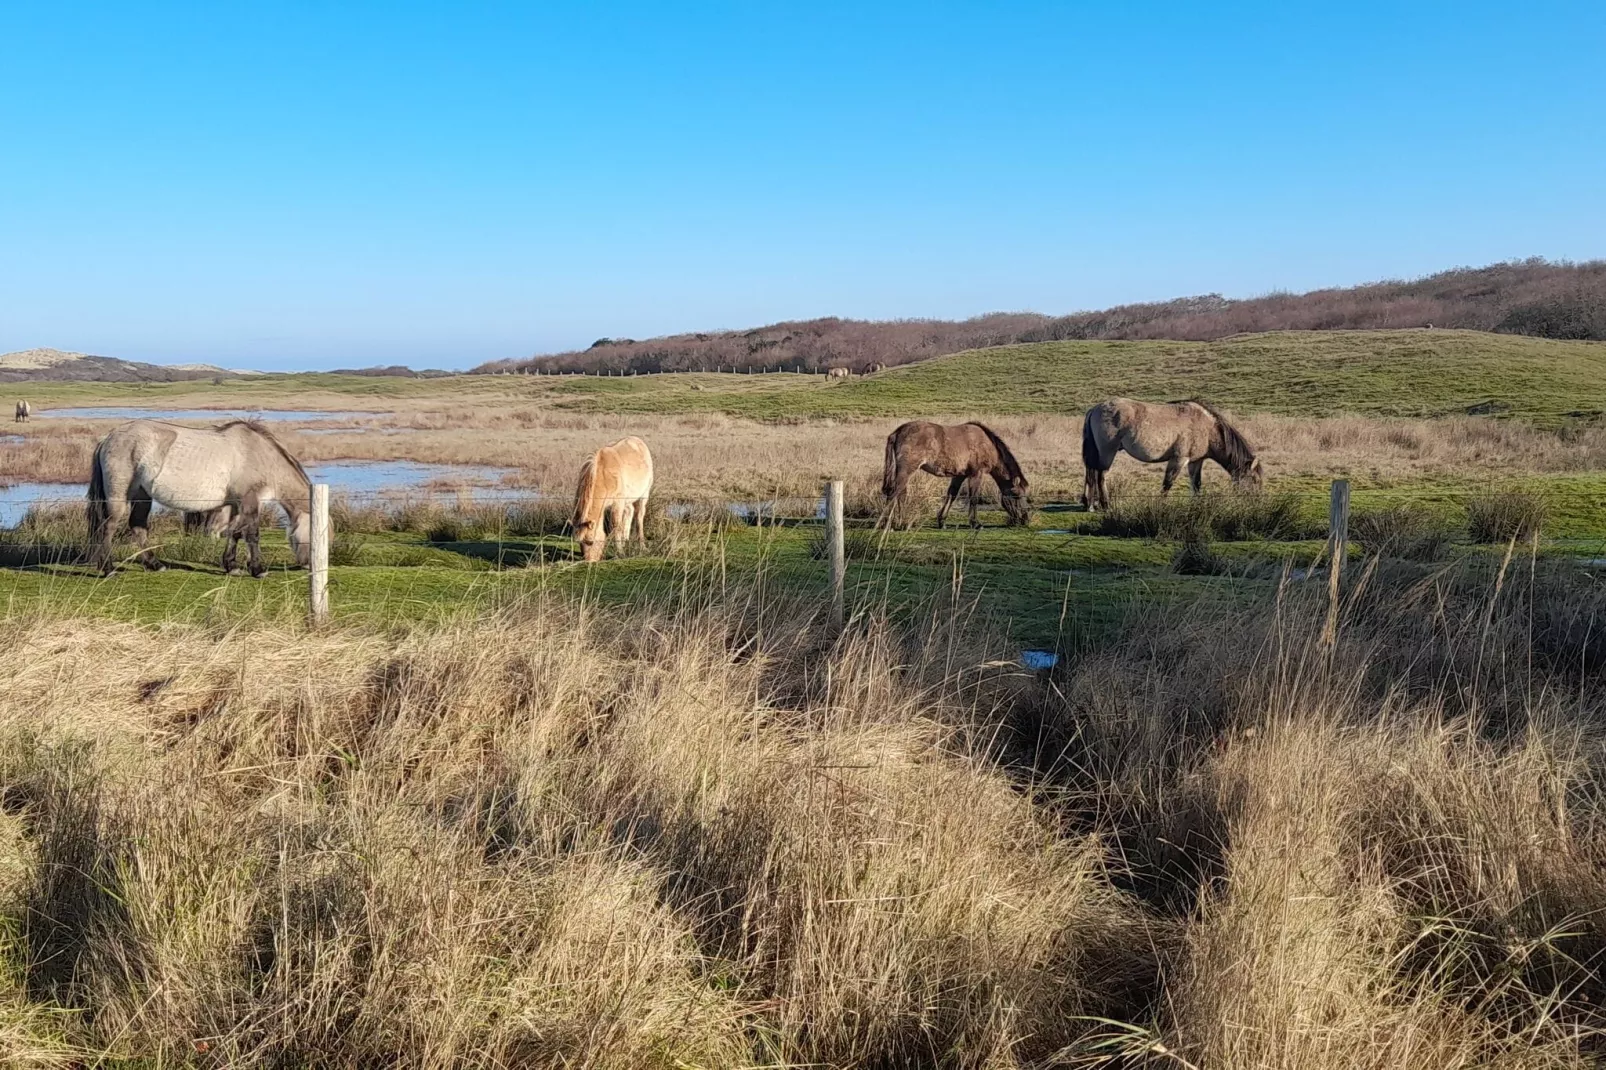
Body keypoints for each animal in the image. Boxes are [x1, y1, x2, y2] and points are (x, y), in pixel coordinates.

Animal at [85, 420, 313, 578]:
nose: (308, 565)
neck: (260, 456)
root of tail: (108, 437)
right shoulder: (250, 501)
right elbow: (252, 534)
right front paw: (258, 570)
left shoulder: (236, 505)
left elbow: (235, 533)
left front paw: (231, 566)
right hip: (119, 496)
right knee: (108, 527)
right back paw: (108, 569)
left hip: (142, 495)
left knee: (137, 525)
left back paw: (155, 565)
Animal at [880, 420, 1027, 530]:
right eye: (1017, 495)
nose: (1025, 519)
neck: (986, 444)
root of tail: (897, 432)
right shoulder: (976, 474)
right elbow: (973, 498)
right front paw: (975, 523)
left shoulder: (959, 475)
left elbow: (952, 495)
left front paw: (942, 521)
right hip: (906, 470)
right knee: (894, 493)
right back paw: (890, 523)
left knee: (900, 494)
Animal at [1079, 395, 1265, 507]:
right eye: (1255, 480)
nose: (1257, 502)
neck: (1207, 427)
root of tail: (1095, 409)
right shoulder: (1179, 459)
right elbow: (1168, 483)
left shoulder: (1196, 461)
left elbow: (1196, 484)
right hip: (1107, 452)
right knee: (1101, 475)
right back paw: (1105, 505)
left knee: (1091, 473)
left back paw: (1091, 504)